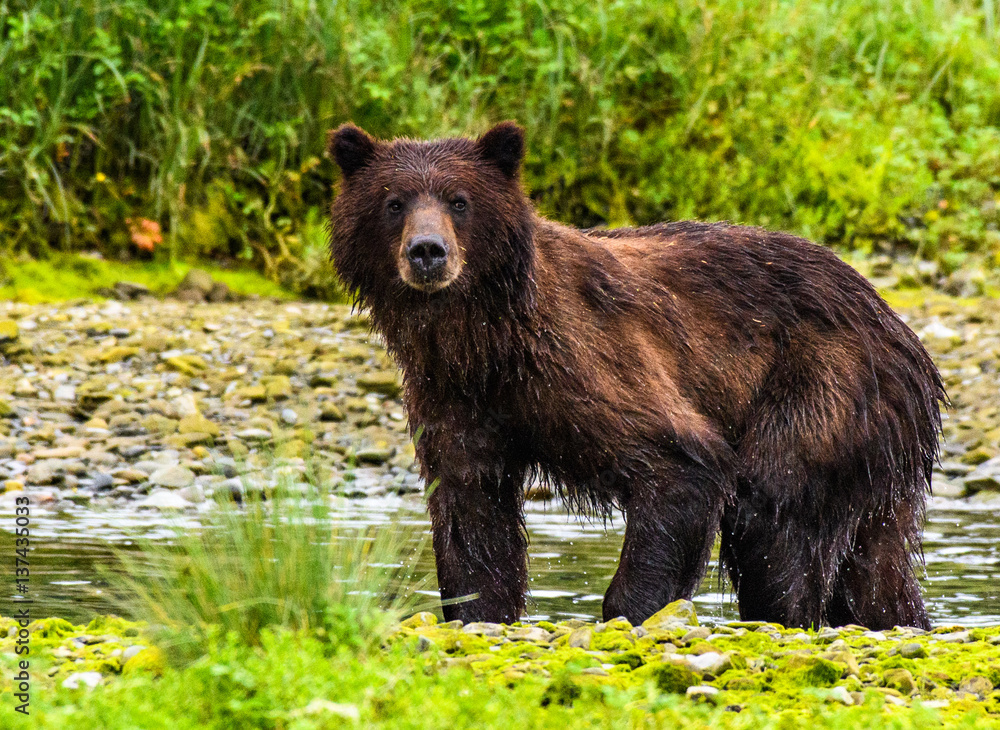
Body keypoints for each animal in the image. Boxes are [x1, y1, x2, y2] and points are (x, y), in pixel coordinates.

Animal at [328, 122, 944, 628]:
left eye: (459, 200)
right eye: (393, 202)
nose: (427, 251)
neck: (482, 338)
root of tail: (896, 323)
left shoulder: (582, 357)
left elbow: (679, 463)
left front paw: (631, 610)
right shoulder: (452, 394)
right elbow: (470, 506)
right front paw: (479, 608)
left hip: (824, 385)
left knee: (772, 514)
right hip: (872, 448)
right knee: (875, 569)